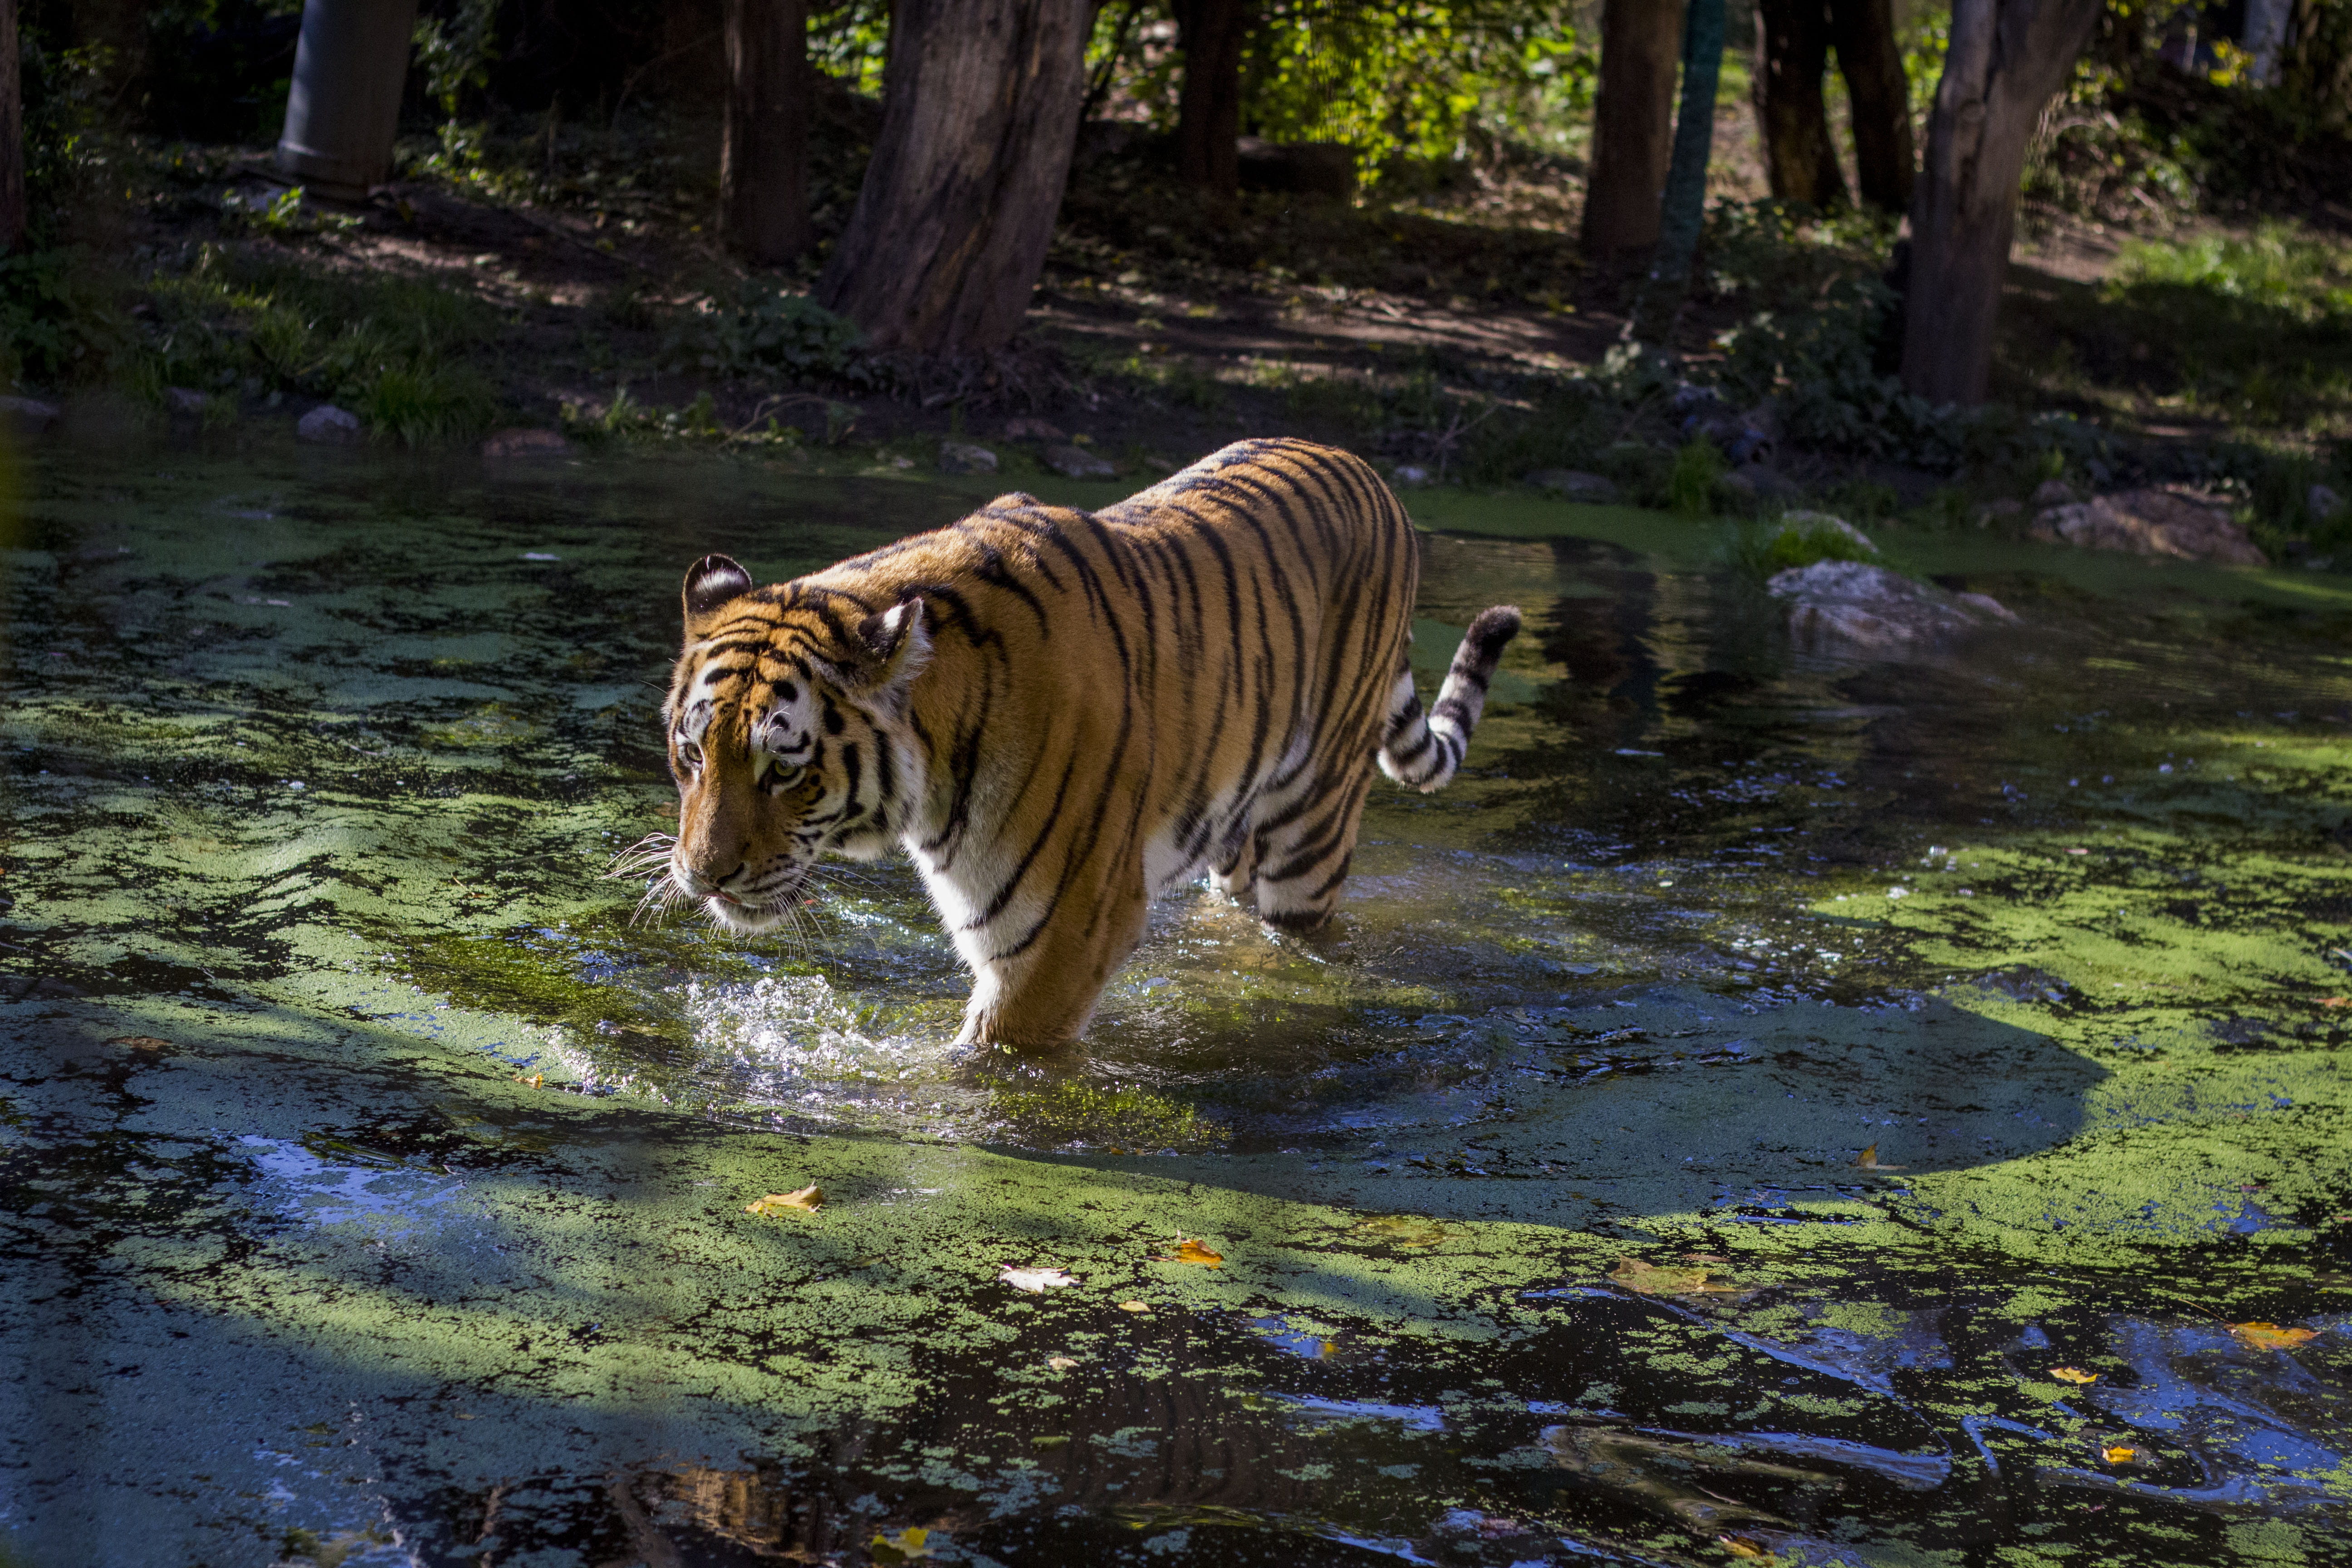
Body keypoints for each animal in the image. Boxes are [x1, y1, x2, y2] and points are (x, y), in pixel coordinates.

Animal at [639, 437, 1521, 1048]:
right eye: (693, 755)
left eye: (783, 770)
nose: (701, 877)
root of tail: (1371, 475)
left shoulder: (1062, 933)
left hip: (1311, 831)